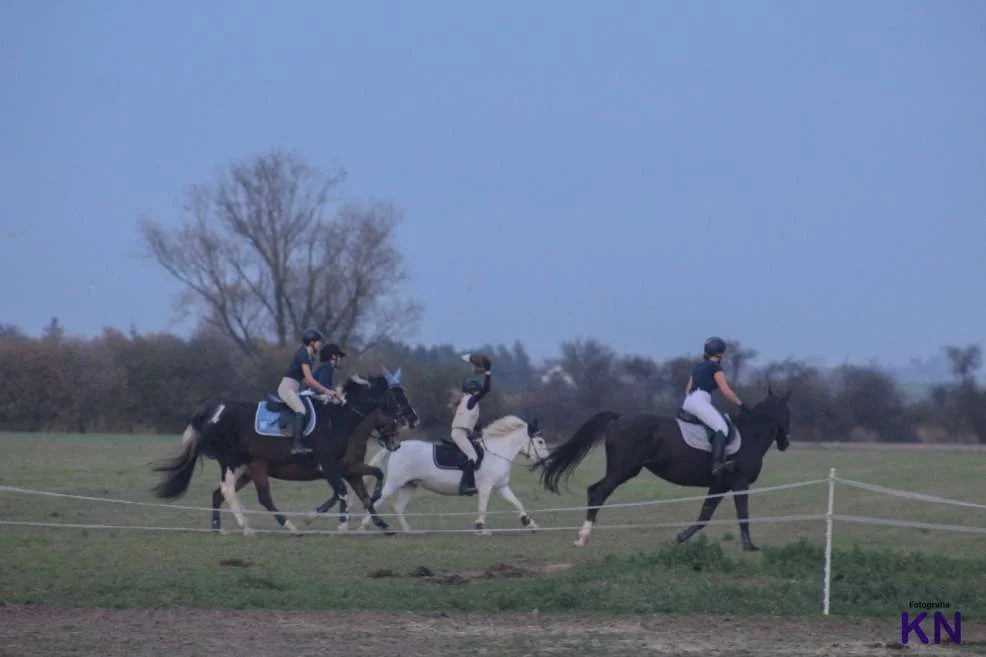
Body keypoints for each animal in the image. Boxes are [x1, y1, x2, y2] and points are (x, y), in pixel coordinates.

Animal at [152, 372, 418, 536]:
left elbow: (369, 484)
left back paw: (224, 528)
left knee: (226, 494)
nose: (413, 420)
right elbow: (341, 491)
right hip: (231, 461)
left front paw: (381, 522)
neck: (338, 419)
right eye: (397, 397)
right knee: (230, 491)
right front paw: (338, 525)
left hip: (248, 468)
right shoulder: (330, 464)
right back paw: (256, 526)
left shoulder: (347, 468)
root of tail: (211, 412)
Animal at [354, 416, 548, 532]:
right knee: (377, 501)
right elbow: (483, 507)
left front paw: (529, 522)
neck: (496, 451)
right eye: (540, 441)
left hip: (409, 485)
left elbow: (517, 503)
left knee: (398, 507)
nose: (545, 461)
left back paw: (409, 531)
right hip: (394, 483)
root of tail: (396, 448)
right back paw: (364, 527)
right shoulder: (486, 487)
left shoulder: (501, 487)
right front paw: (481, 527)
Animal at [532, 386, 792, 552]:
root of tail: (620, 417)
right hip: (622, 471)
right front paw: (750, 546)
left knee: (594, 490)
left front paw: (681, 537)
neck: (751, 434)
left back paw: (581, 536)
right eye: (787, 413)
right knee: (598, 493)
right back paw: (582, 538)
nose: (785, 443)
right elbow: (743, 515)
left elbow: (705, 515)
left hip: (623, 471)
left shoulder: (720, 485)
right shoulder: (740, 482)